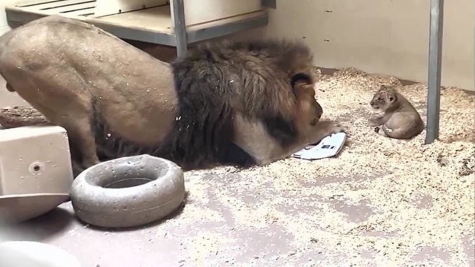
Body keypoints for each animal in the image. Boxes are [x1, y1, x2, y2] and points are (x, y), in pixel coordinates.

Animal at [0, 15, 344, 173]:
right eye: (313, 95)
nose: (321, 109)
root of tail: (8, 38)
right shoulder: (263, 149)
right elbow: (304, 135)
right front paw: (334, 125)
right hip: (73, 105)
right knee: (86, 160)